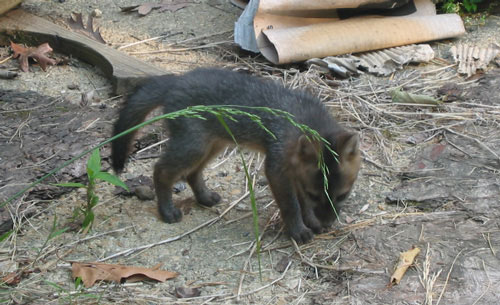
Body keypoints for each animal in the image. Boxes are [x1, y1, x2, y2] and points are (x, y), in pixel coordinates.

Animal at [112, 68, 362, 242]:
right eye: (315, 195)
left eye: (342, 195)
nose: (328, 222)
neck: (304, 116)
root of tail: (177, 79)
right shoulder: (277, 169)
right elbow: (291, 205)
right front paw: (299, 230)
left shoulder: (294, 173)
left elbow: (300, 204)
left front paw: (310, 222)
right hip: (193, 147)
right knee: (161, 170)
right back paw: (167, 211)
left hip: (213, 145)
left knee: (192, 173)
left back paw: (205, 197)